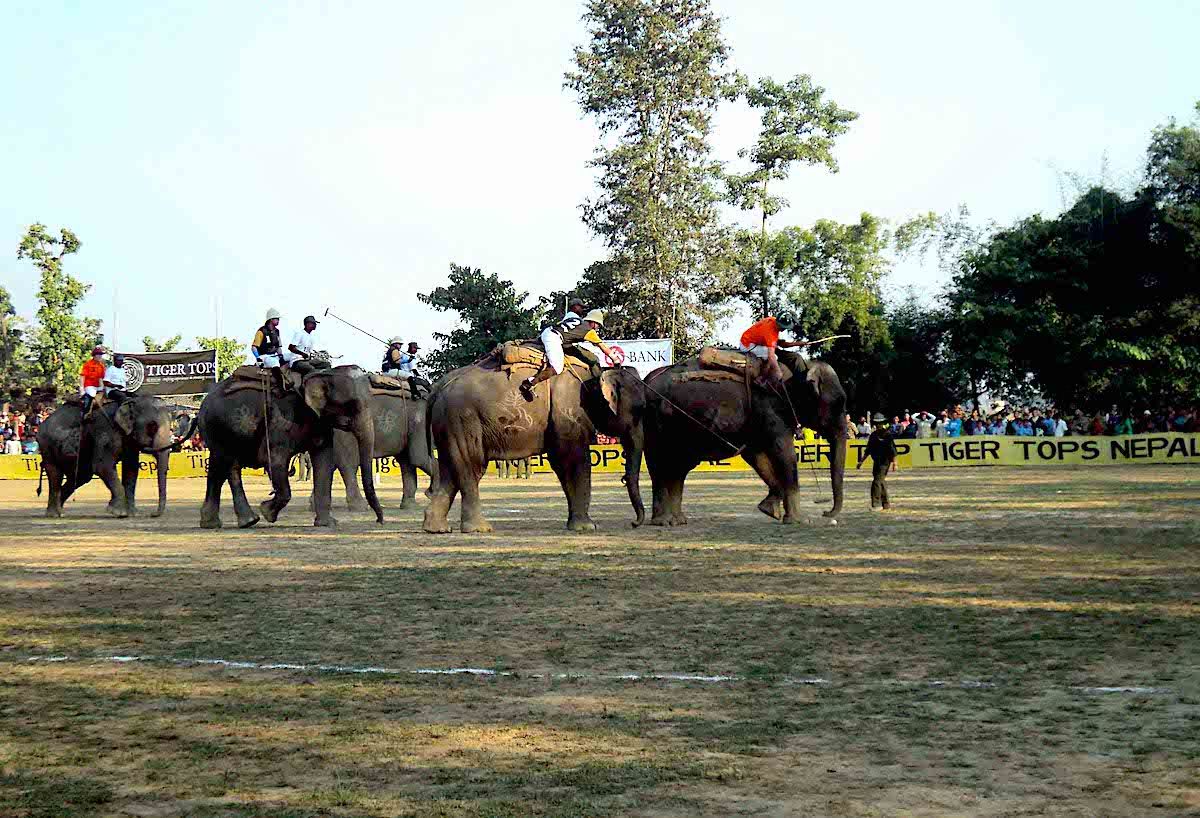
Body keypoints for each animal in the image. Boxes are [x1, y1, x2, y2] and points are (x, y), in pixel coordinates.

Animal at [36, 391, 195, 513]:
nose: (153, 514)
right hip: (46, 445)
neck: (130, 401)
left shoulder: (128, 438)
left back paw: (58, 510)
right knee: (56, 474)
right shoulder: (106, 430)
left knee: (81, 475)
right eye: (152, 426)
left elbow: (131, 468)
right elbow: (102, 466)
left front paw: (132, 513)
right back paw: (56, 513)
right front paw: (118, 512)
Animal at [196, 364, 381, 527]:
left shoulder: (320, 422)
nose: (379, 521)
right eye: (352, 405)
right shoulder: (280, 419)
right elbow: (274, 459)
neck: (321, 374)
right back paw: (249, 521)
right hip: (221, 427)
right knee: (229, 465)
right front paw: (267, 512)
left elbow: (324, 461)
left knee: (217, 469)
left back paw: (211, 523)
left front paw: (327, 524)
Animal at [422, 359, 648, 532]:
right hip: (463, 419)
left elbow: (564, 462)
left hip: (447, 423)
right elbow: (572, 459)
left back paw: (437, 529)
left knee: (450, 467)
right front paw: (586, 528)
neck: (595, 373)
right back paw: (479, 529)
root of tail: (438, 388)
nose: (634, 523)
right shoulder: (567, 411)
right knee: (471, 466)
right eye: (640, 409)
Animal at [648, 345, 844, 522]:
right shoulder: (769, 409)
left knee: (678, 468)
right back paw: (664, 521)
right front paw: (799, 520)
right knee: (660, 465)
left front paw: (769, 510)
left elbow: (757, 457)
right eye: (837, 405)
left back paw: (678, 520)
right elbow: (784, 452)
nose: (825, 512)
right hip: (658, 423)